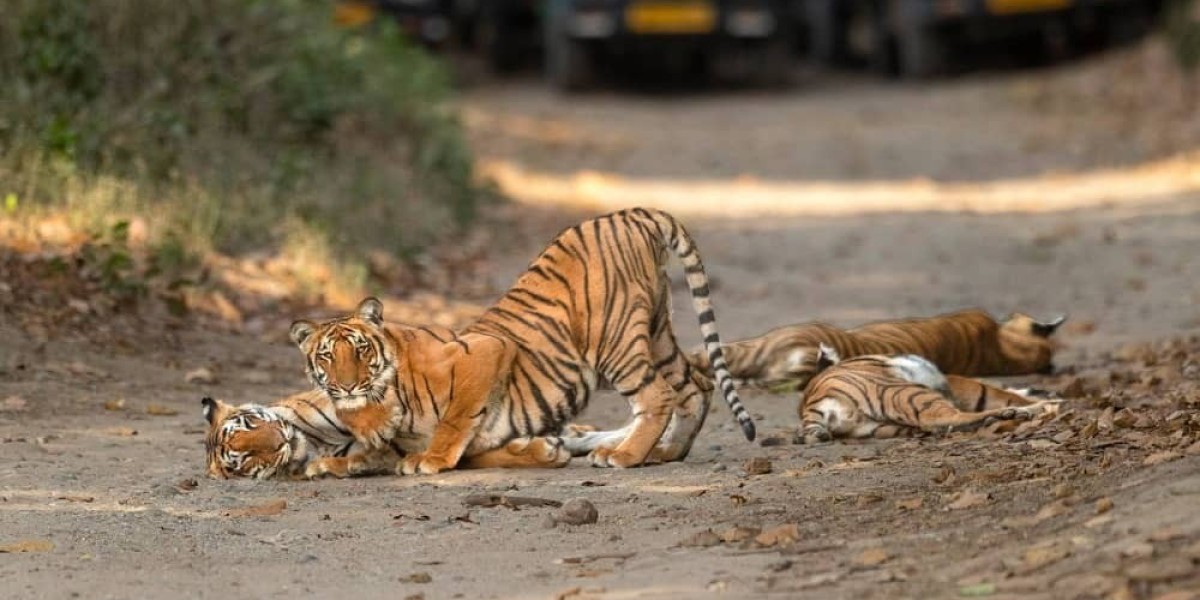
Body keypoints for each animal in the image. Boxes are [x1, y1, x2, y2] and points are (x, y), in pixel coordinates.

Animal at [285, 208, 748, 475]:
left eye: (360, 350)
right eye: (327, 356)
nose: (347, 386)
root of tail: (633, 215)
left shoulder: (485, 352)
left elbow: (456, 420)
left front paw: (431, 460)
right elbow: (478, 448)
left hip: (615, 341)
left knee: (658, 394)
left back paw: (624, 456)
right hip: (656, 333)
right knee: (695, 385)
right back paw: (665, 452)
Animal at [796, 345, 1060, 444]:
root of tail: (808, 408)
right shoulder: (953, 383)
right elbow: (992, 391)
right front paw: (1043, 400)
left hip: (884, 426)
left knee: (940, 424)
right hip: (900, 390)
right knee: (942, 418)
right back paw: (1027, 411)